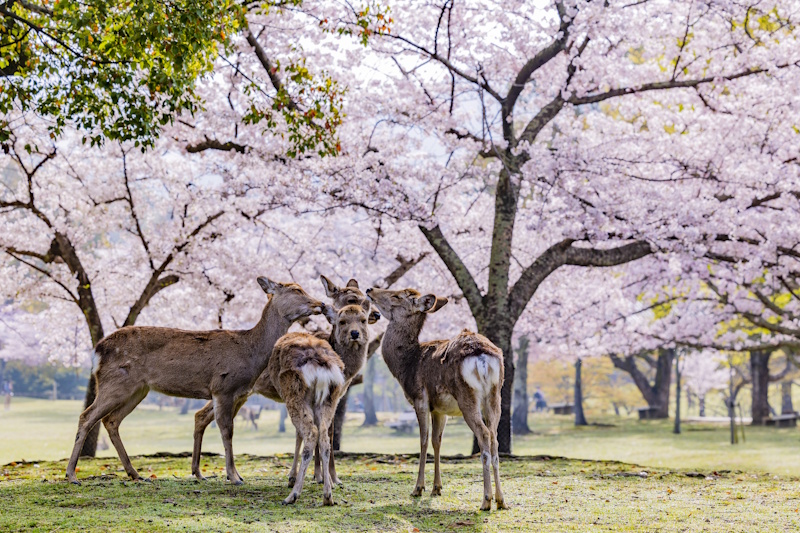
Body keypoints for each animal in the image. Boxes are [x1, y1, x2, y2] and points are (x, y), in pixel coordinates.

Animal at [65, 278, 325, 486]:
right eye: (296, 289)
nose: (320, 304)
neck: (250, 352)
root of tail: (97, 350)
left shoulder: (239, 393)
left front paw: (231, 475)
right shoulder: (223, 387)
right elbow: (227, 430)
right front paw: (234, 477)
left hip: (138, 390)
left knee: (111, 420)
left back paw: (135, 474)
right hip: (115, 383)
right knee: (87, 416)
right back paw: (72, 475)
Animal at [365, 286, 508, 511]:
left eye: (397, 296)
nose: (370, 289)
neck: (407, 365)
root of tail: (482, 357)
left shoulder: (420, 399)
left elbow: (423, 440)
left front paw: (418, 488)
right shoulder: (441, 409)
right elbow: (437, 441)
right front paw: (436, 488)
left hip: (467, 395)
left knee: (484, 434)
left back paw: (486, 500)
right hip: (495, 395)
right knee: (494, 437)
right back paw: (501, 500)